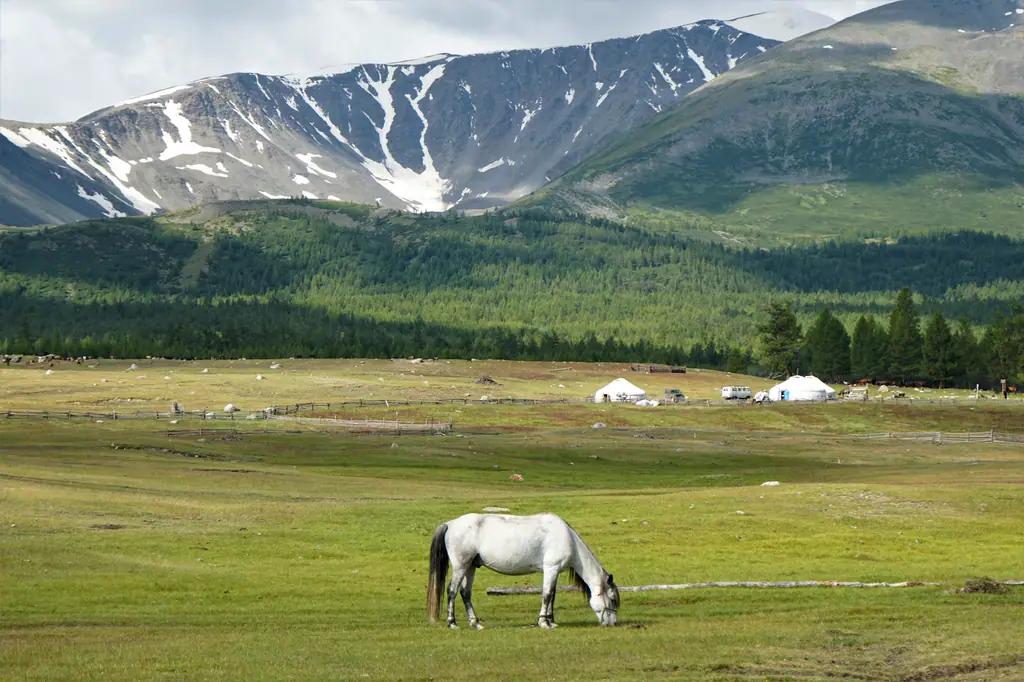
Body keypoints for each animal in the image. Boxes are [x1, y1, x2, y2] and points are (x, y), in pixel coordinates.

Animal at [427, 512, 619, 630]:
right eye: (612, 599)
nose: (613, 623)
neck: (567, 538)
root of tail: (450, 524)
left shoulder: (554, 571)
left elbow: (552, 595)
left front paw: (551, 621)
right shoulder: (551, 568)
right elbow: (547, 595)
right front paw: (544, 622)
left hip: (470, 567)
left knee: (465, 593)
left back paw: (476, 623)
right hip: (461, 566)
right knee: (452, 591)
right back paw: (452, 623)